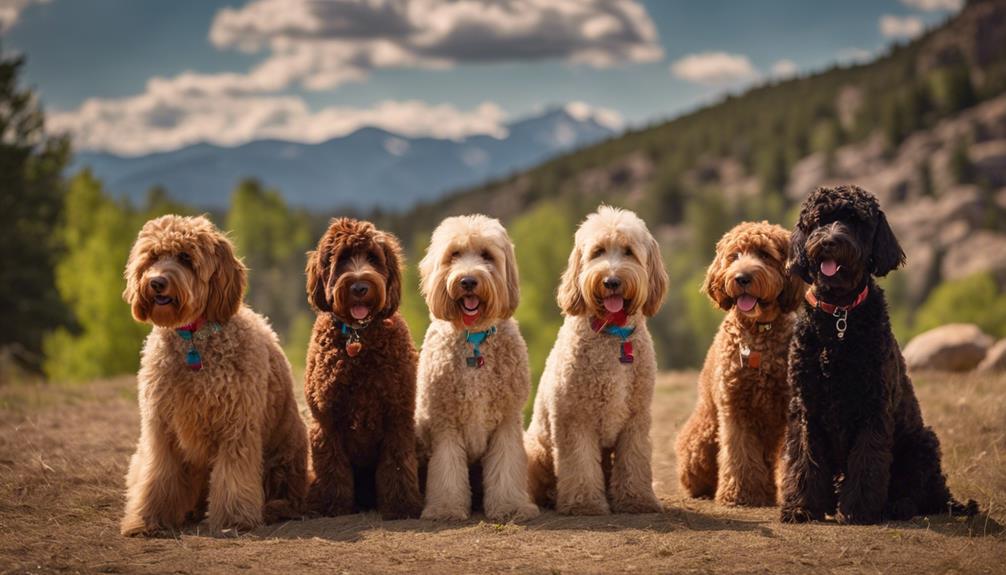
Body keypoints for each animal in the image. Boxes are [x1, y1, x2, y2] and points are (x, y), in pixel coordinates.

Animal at [301, 218, 420, 518]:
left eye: (373, 258)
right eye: (342, 259)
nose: (359, 287)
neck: (358, 336)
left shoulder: (397, 415)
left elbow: (397, 463)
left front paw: (401, 505)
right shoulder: (326, 420)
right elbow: (333, 466)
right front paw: (335, 505)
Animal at [527, 204, 667, 514]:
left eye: (628, 251)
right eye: (598, 252)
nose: (611, 281)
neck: (612, 333)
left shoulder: (636, 419)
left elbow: (634, 460)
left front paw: (637, 499)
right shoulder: (574, 418)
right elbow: (579, 464)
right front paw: (584, 503)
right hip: (536, 448)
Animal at [672, 222, 804, 504]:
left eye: (765, 254)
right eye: (734, 256)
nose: (742, 278)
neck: (758, 332)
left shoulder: (790, 405)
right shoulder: (735, 407)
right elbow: (739, 452)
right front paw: (740, 493)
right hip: (701, 439)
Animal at [776, 184, 973, 526]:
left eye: (855, 221)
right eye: (818, 221)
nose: (829, 241)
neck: (839, 316)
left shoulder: (872, 406)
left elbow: (867, 460)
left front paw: (858, 510)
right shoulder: (806, 407)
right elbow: (804, 458)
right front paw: (802, 507)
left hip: (921, 443)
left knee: (915, 492)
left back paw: (895, 506)